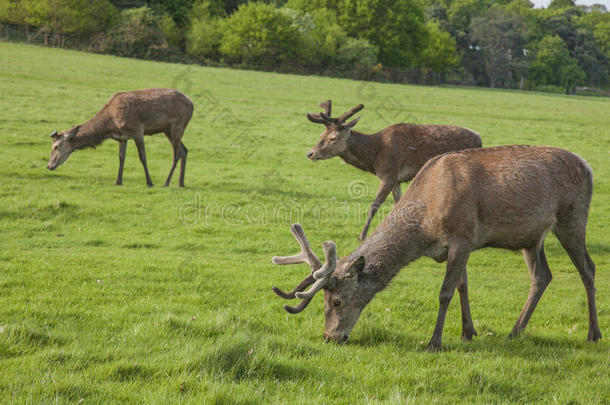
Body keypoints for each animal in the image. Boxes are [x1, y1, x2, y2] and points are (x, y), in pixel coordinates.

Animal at [48, 88, 194, 186]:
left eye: (56, 146)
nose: (49, 166)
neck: (110, 124)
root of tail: (192, 103)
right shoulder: (122, 137)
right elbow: (121, 157)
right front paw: (118, 181)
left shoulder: (137, 130)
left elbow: (142, 157)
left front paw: (149, 182)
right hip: (167, 130)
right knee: (184, 150)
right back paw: (181, 183)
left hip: (177, 125)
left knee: (177, 153)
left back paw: (166, 183)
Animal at [270, 146, 600, 350]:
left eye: (336, 301)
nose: (330, 337)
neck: (424, 225)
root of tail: (589, 167)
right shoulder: (460, 246)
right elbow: (462, 286)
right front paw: (468, 333)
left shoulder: (463, 237)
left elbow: (445, 292)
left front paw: (434, 342)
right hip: (532, 237)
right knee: (542, 276)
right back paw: (515, 331)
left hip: (572, 218)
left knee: (588, 268)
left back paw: (592, 334)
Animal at [306, 100, 482, 240]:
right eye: (321, 135)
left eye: (333, 138)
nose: (310, 153)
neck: (374, 158)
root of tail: (480, 138)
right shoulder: (396, 180)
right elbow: (398, 205)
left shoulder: (389, 174)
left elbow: (374, 206)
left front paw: (362, 236)